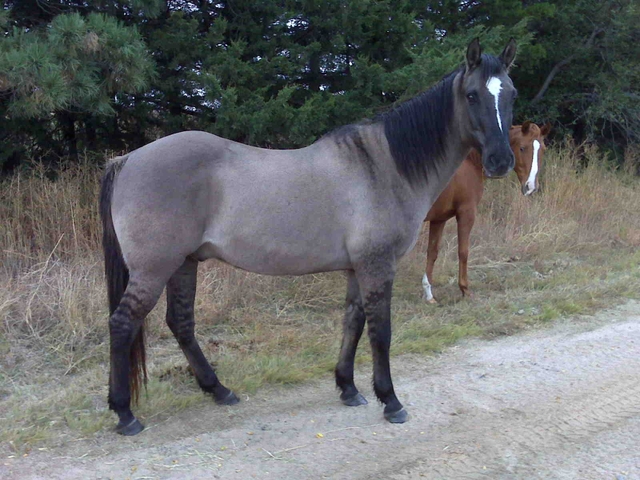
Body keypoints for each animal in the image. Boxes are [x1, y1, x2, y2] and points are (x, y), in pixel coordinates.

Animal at [101, 38, 520, 436]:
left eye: (511, 94)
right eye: (472, 95)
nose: (501, 161)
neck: (383, 166)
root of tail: (127, 159)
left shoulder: (357, 268)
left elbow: (353, 322)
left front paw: (348, 388)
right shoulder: (377, 265)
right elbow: (380, 332)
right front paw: (390, 401)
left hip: (184, 263)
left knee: (181, 323)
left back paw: (219, 390)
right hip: (155, 269)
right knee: (122, 325)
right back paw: (125, 414)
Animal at [420, 121, 552, 300]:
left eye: (543, 149)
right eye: (522, 148)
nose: (531, 187)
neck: (468, 163)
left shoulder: (438, 219)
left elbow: (432, 252)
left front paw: (429, 294)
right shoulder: (466, 213)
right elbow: (463, 251)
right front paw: (465, 289)